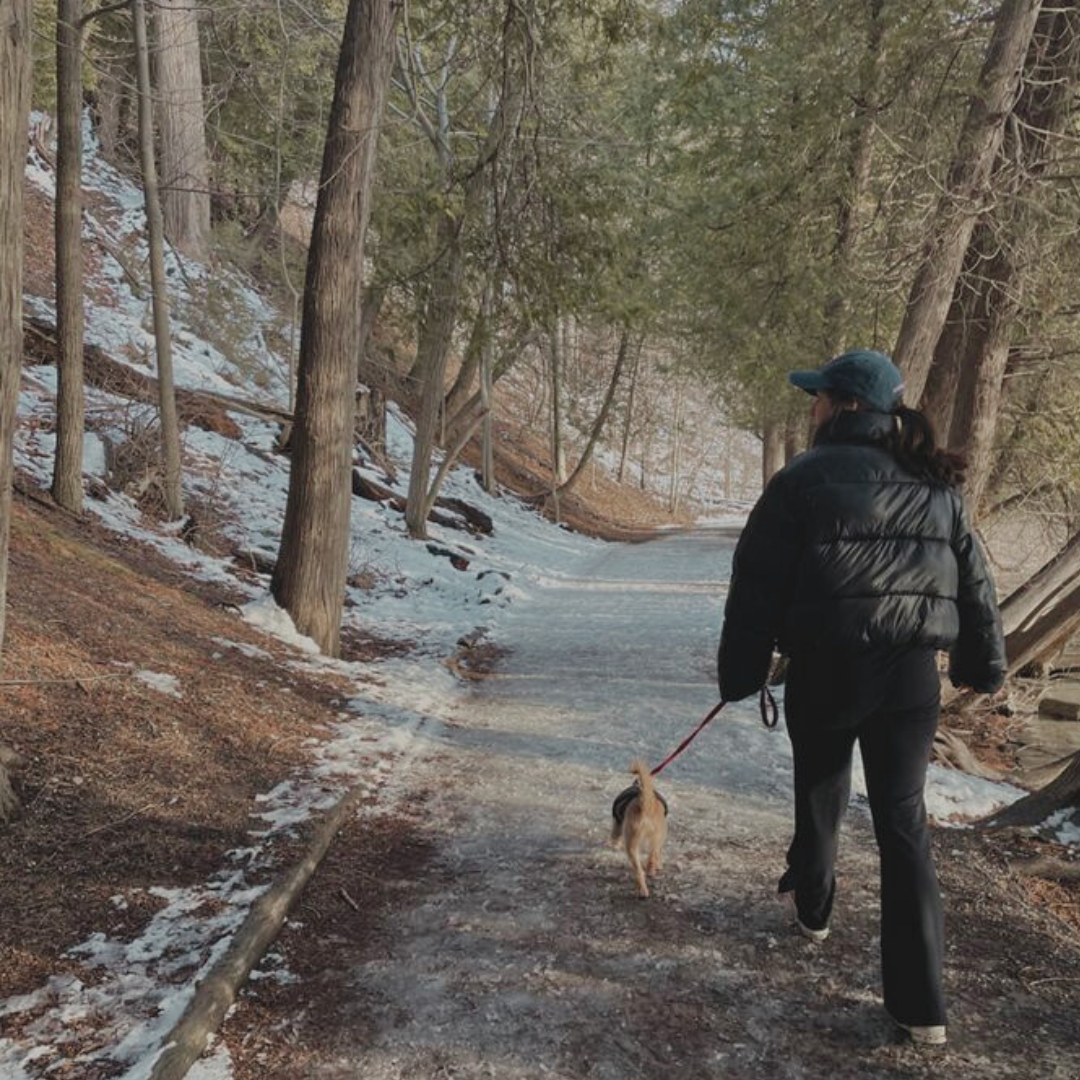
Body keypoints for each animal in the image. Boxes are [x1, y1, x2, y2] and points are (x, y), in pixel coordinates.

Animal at [609, 760, 665, 894]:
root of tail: (645, 804)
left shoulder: (617, 824)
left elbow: (614, 837)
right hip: (655, 837)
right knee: (651, 858)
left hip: (633, 841)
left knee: (641, 869)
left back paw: (643, 889)